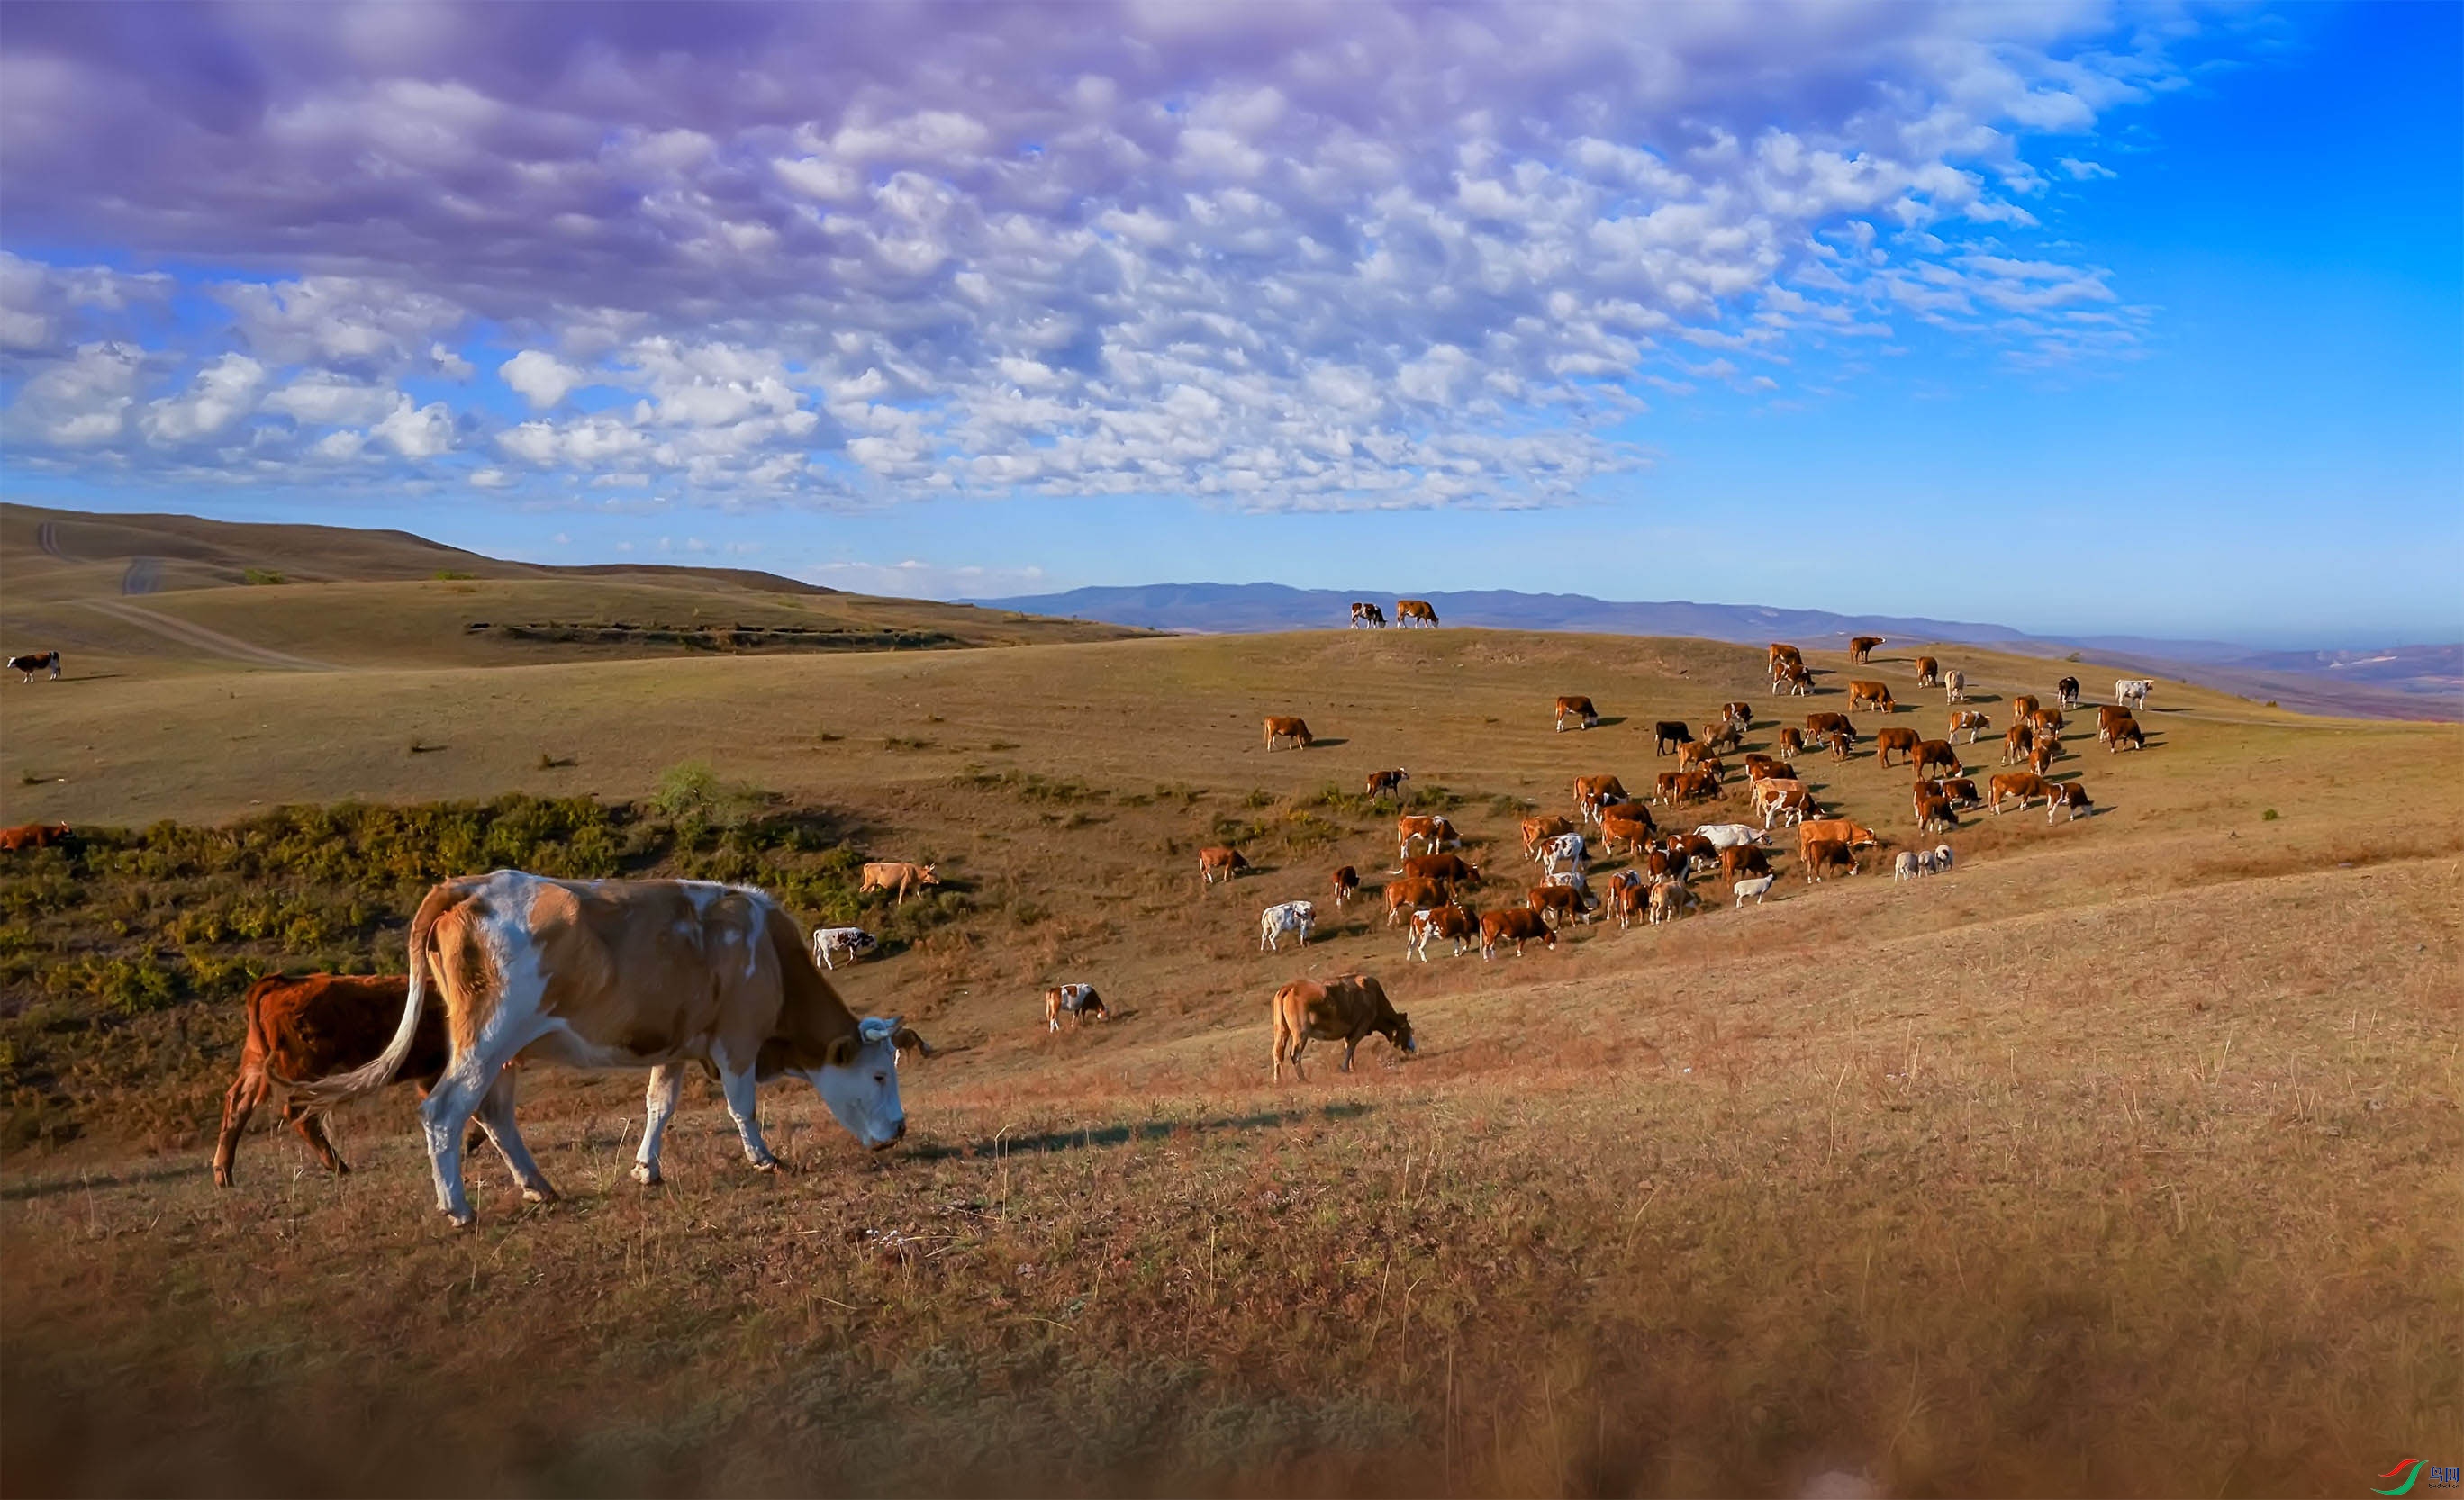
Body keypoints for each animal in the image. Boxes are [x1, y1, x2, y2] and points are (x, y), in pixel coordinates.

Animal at [288, 872, 906, 1221]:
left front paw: (645, 1169)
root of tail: (470, 883)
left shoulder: (678, 1046)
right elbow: (742, 1105)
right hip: (488, 1035)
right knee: (444, 1111)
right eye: (879, 1075)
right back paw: (458, 1209)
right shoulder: (737, 1038)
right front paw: (764, 1159)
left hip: (503, 1049)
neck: (769, 954)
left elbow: (660, 1105)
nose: (900, 1131)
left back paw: (538, 1187)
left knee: (493, 1115)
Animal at [1271, 970, 1409, 1073]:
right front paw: (1346, 1068)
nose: (1411, 1049)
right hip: (1301, 1032)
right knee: (1295, 1054)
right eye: (1409, 1030)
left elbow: (1349, 1048)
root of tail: (1289, 987)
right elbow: (1351, 1047)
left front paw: (1352, 1068)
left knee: (1277, 1051)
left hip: (1281, 1030)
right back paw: (1303, 1079)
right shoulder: (1361, 1027)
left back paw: (1279, 1081)